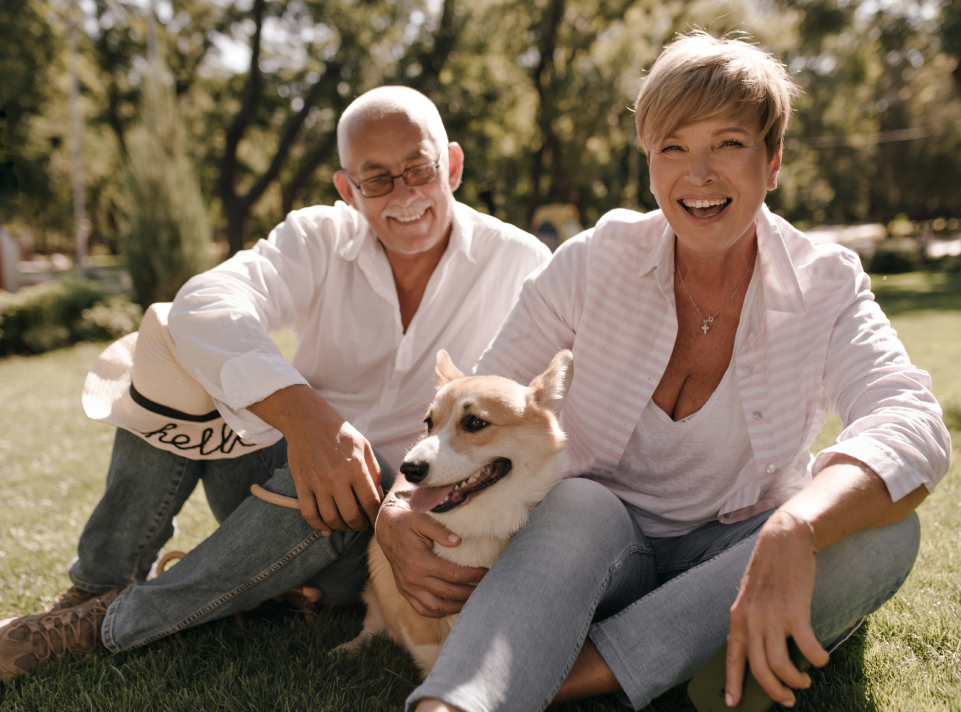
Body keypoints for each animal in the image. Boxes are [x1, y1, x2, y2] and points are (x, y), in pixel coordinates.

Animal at [334, 348, 568, 676]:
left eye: (475, 422)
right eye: (428, 423)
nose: (409, 469)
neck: (478, 525)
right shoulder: (418, 605)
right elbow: (432, 653)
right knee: (373, 626)